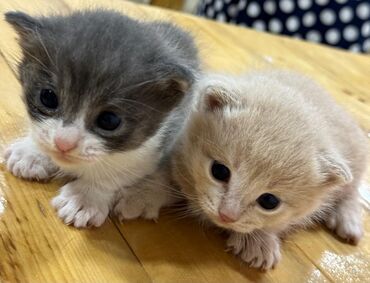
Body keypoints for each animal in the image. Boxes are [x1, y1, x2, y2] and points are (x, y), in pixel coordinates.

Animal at [3, 10, 199, 229]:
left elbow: (123, 170)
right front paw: (32, 152)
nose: (64, 143)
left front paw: (85, 197)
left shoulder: (163, 138)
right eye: (48, 97)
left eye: (109, 120)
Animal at [115, 70, 368, 270]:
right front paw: (140, 196)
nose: (226, 215)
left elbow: (275, 223)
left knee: (352, 191)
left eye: (269, 201)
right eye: (219, 171)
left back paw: (349, 220)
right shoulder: (180, 148)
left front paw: (259, 241)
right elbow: (167, 177)